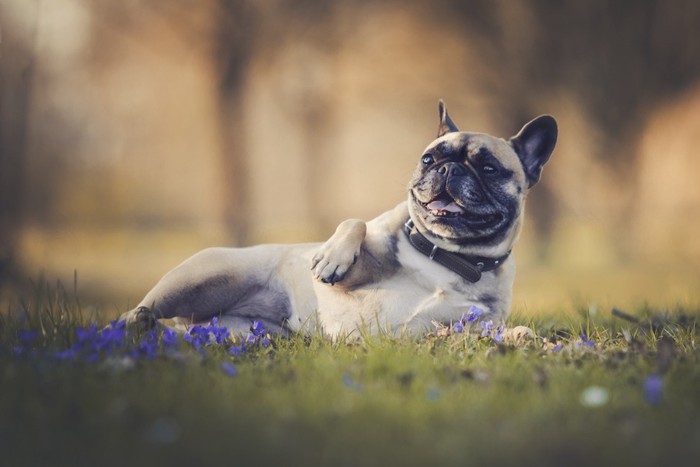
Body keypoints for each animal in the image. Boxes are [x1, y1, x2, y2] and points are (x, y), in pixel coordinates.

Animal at [120, 101, 556, 340]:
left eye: (488, 167)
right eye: (430, 158)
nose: (449, 169)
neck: (446, 257)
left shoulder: (467, 324)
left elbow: (482, 330)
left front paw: (521, 336)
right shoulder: (356, 275)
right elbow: (355, 221)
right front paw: (330, 258)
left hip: (239, 332)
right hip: (205, 273)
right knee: (131, 316)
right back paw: (134, 323)